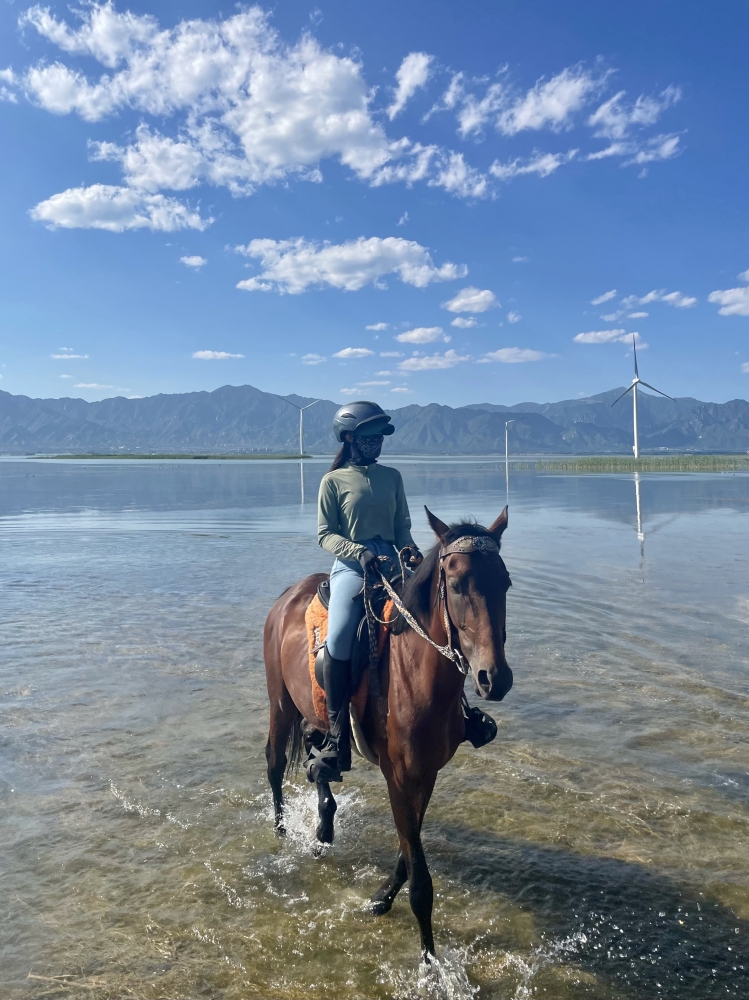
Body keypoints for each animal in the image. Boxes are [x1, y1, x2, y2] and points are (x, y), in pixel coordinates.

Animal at [263, 506, 513, 959]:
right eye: (456, 584)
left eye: (504, 582)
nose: (495, 678)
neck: (413, 673)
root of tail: (288, 596)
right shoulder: (398, 777)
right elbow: (421, 882)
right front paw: (430, 961)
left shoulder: (426, 774)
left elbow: (407, 851)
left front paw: (382, 897)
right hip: (280, 704)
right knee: (274, 765)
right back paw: (282, 832)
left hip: (314, 712)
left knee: (316, 752)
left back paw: (324, 825)